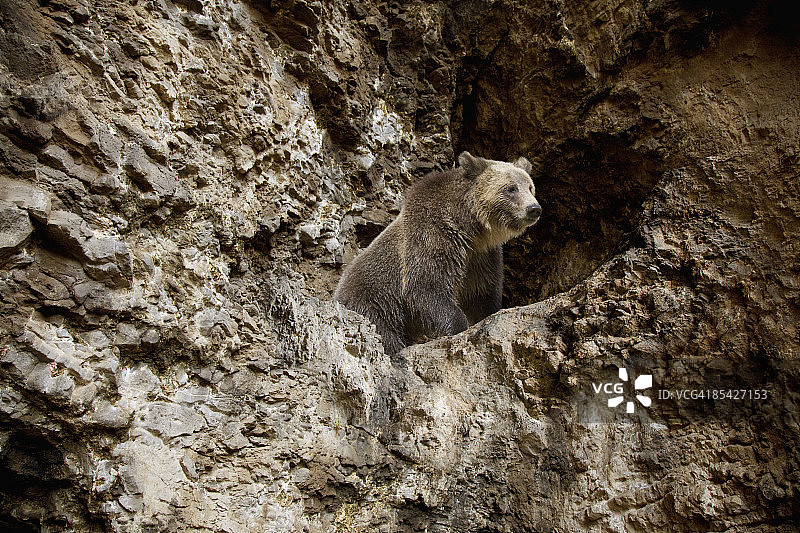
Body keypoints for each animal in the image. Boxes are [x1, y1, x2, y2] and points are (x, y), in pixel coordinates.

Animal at [334, 151, 541, 355]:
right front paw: (458, 326)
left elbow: (481, 293)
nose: (534, 209)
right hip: (374, 301)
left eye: (530, 187)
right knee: (383, 332)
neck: (470, 228)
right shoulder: (433, 236)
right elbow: (426, 287)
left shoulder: (481, 256)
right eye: (511, 188)